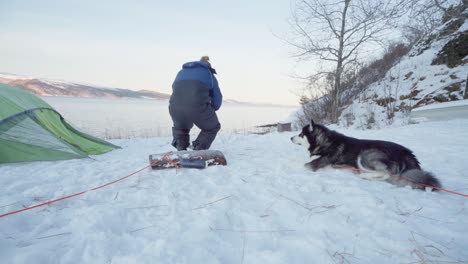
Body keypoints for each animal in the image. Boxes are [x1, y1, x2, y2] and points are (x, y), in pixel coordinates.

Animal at [290, 119, 440, 190]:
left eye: (301, 134)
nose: (291, 138)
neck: (324, 142)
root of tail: (405, 152)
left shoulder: (314, 165)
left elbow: (302, 165)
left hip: (365, 155)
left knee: (386, 173)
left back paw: (363, 175)